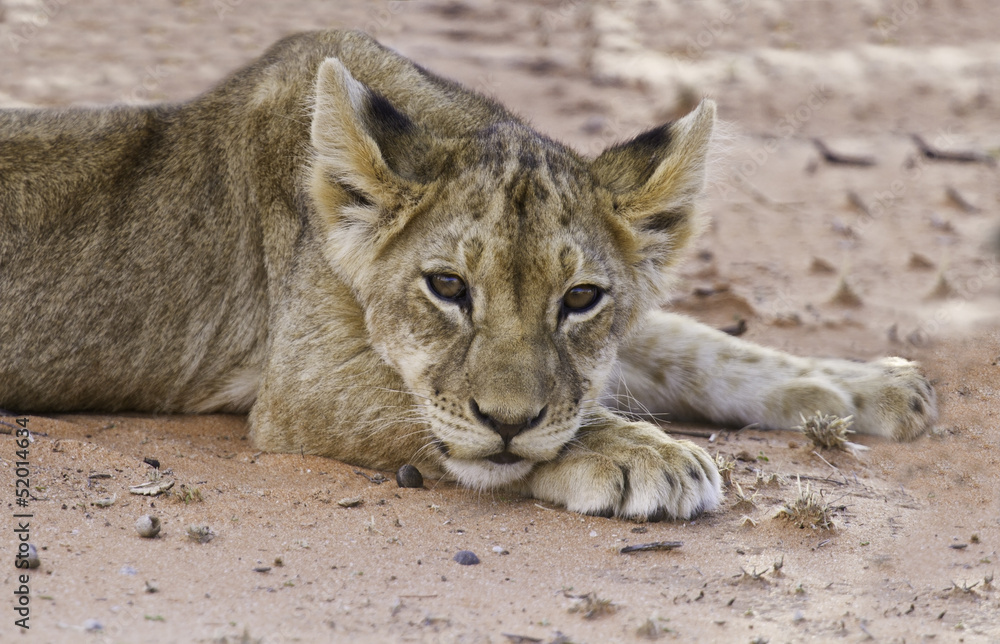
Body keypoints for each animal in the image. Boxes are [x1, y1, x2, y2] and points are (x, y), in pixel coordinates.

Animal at [0, 30, 936, 521]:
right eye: (447, 287)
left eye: (580, 299)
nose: (509, 423)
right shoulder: (299, 386)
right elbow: (441, 414)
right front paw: (643, 455)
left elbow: (690, 344)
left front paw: (867, 386)